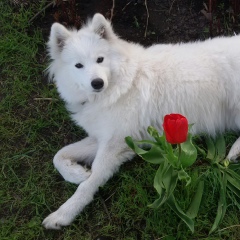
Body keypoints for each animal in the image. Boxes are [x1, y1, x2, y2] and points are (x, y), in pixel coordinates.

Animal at [42, 12, 240, 229]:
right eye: (78, 65)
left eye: (100, 59)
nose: (97, 83)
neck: (119, 85)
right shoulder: (103, 138)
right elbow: (59, 155)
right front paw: (77, 174)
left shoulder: (114, 145)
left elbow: (90, 182)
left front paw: (64, 213)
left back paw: (235, 151)